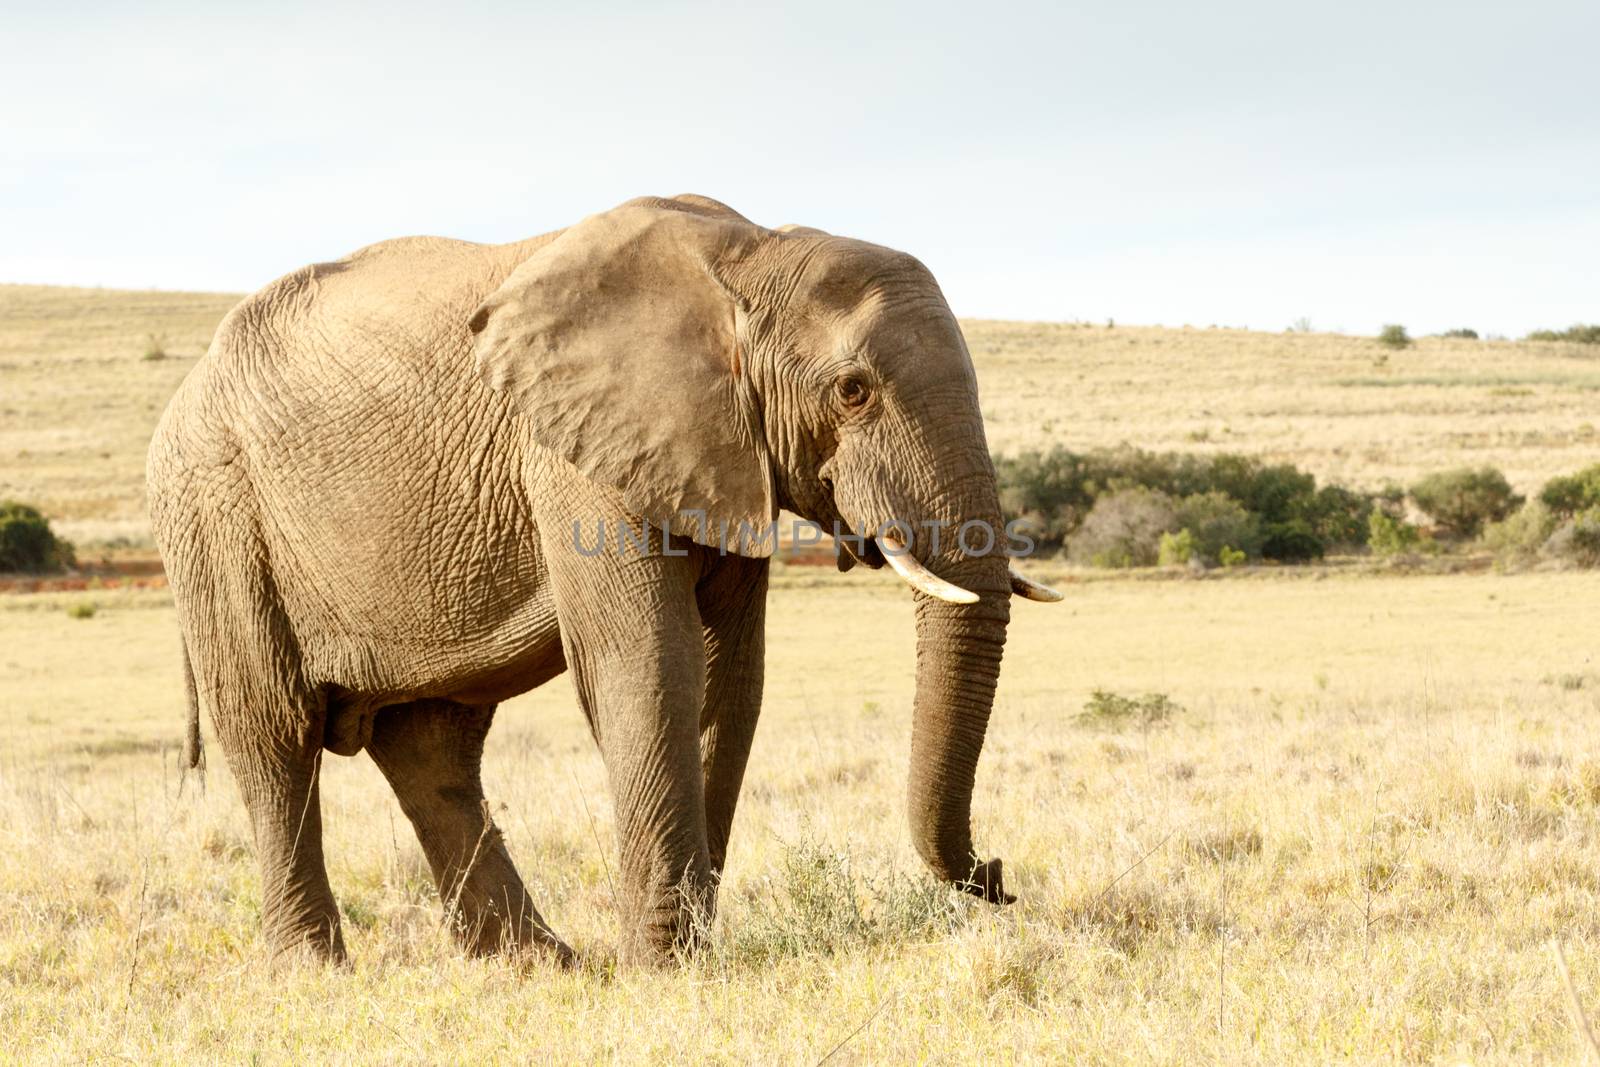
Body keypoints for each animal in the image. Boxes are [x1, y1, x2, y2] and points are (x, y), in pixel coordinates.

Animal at [147, 194, 1062, 966]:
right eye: (853, 391)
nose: (999, 875)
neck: (752, 251)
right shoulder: (576, 451)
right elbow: (649, 660)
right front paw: (665, 967)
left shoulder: (720, 451)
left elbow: (726, 678)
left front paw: (685, 952)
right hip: (216, 515)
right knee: (274, 735)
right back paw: (317, 968)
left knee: (432, 745)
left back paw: (535, 964)